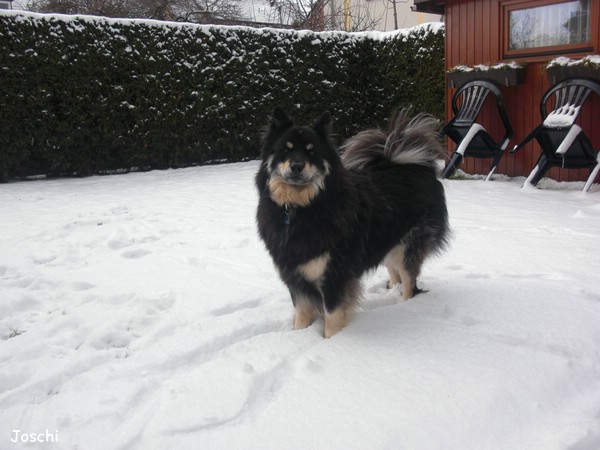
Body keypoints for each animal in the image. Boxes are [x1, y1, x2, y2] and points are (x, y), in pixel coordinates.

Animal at [254, 107, 450, 336]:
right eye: (286, 149)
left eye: (312, 151)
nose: (297, 166)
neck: (299, 208)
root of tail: (412, 166)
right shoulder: (294, 275)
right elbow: (301, 314)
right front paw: (299, 334)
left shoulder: (334, 276)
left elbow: (332, 316)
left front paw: (333, 340)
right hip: (387, 242)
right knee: (395, 272)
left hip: (408, 247)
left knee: (410, 283)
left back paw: (403, 306)